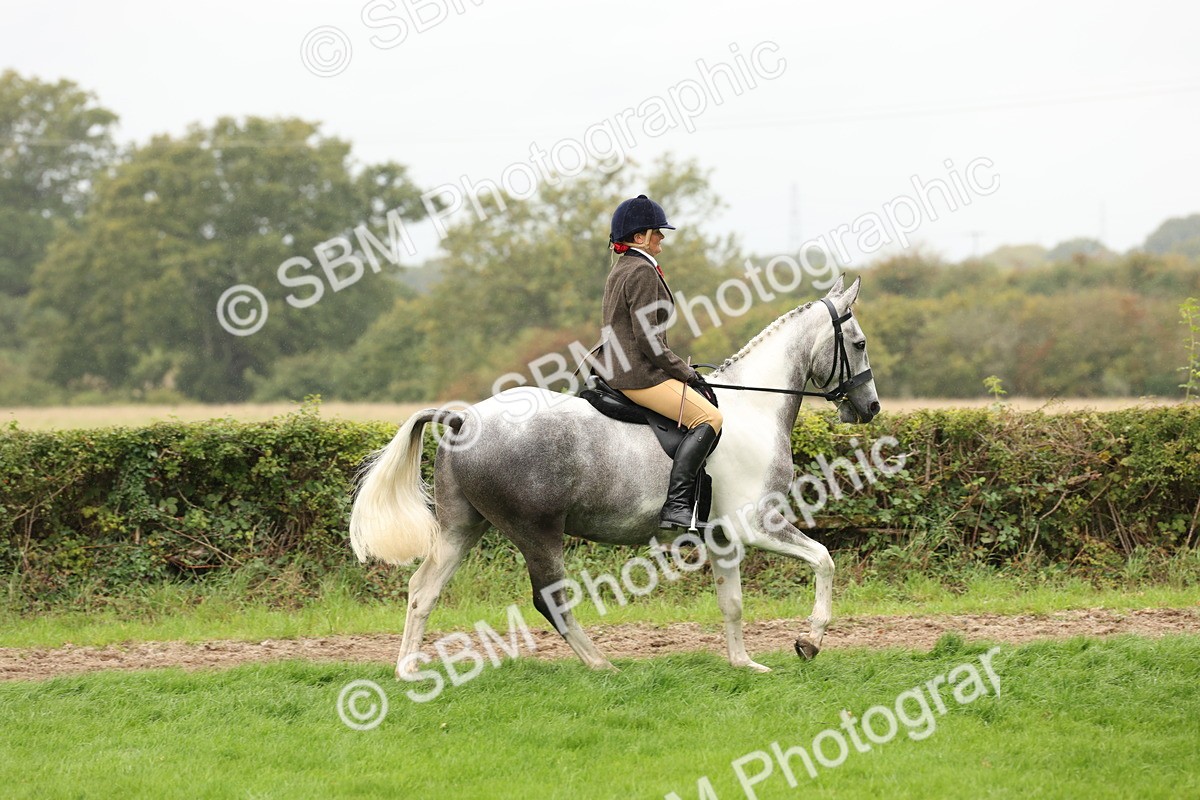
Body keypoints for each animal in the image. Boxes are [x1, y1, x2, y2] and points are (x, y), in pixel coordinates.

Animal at [350, 274, 880, 675]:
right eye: (859, 343)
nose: (871, 408)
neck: (752, 409)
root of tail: (464, 420)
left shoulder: (724, 535)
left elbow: (732, 602)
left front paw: (744, 665)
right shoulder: (756, 524)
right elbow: (824, 560)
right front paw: (809, 642)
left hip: (462, 526)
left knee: (423, 590)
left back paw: (408, 670)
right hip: (537, 531)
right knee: (550, 601)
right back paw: (602, 664)